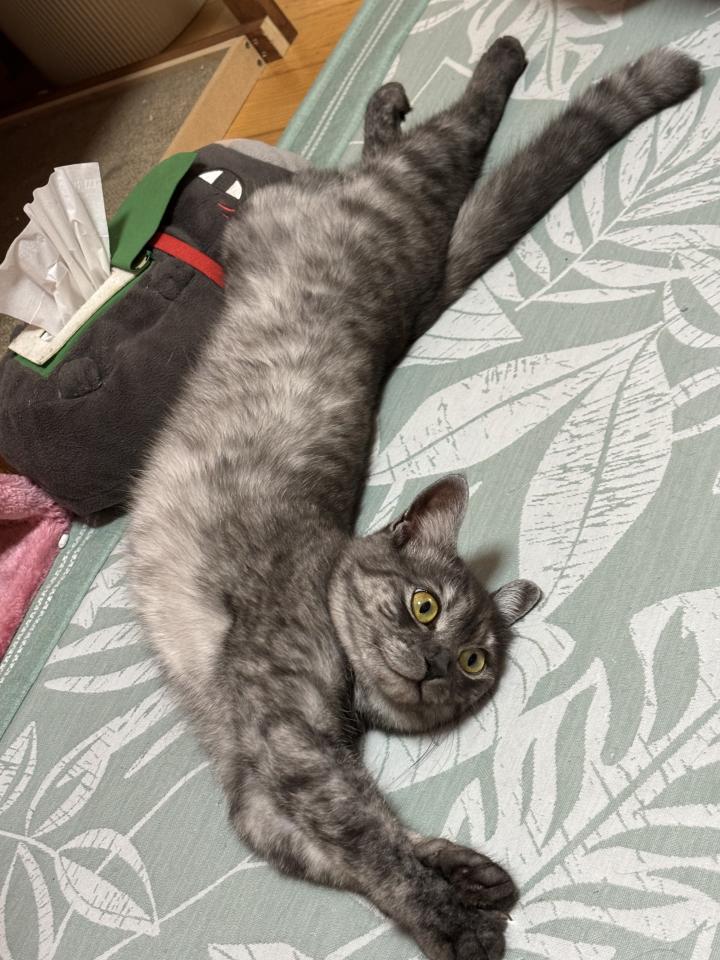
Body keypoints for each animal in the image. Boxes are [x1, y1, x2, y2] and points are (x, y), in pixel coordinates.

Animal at [128, 38, 700, 960]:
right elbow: (371, 844)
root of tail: (420, 292)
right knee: (456, 130)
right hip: (411, 186)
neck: (349, 710)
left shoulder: (258, 788)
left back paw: (388, 104)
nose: (433, 667)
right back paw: (503, 58)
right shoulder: (287, 750)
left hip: (340, 204)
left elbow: (352, 852)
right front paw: (453, 921)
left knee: (380, 151)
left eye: (473, 663)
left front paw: (468, 874)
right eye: (423, 606)